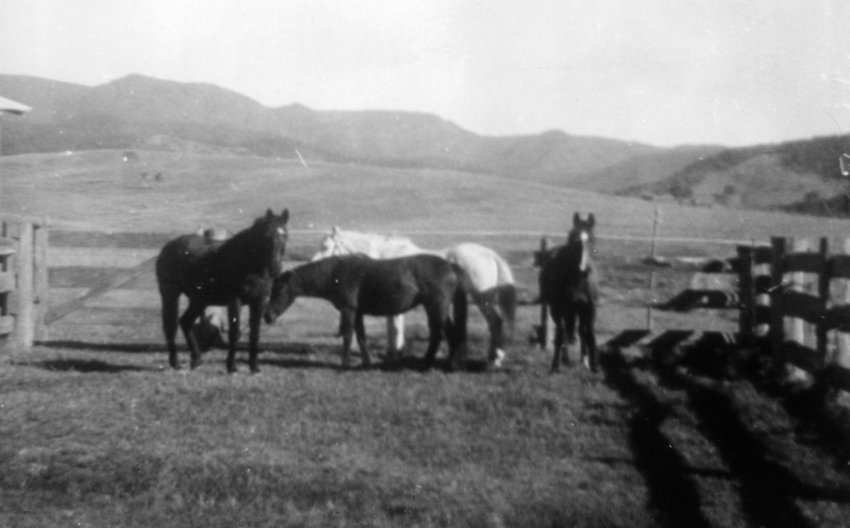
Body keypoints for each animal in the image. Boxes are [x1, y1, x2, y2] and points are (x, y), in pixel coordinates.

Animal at [156, 208, 290, 373]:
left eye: (285, 235)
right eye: (267, 236)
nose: (275, 268)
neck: (248, 262)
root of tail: (167, 248)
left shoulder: (259, 302)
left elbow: (255, 333)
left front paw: (254, 366)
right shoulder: (235, 300)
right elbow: (235, 332)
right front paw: (231, 366)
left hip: (199, 300)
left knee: (185, 322)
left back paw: (196, 359)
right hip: (170, 294)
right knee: (170, 326)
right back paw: (175, 362)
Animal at [264, 253, 469, 370]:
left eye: (279, 291)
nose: (267, 316)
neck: (335, 274)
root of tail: (451, 266)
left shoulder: (349, 311)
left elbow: (348, 337)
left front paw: (344, 365)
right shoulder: (358, 313)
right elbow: (362, 338)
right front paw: (366, 364)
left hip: (436, 307)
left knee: (445, 335)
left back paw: (440, 365)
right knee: (445, 335)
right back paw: (439, 364)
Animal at [312, 227, 516, 367]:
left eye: (326, 247)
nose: (312, 264)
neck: (384, 256)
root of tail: (488, 254)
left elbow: (394, 329)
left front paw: (395, 354)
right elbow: (393, 328)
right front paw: (394, 353)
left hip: (482, 298)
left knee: (495, 322)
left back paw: (495, 359)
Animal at [539, 213, 599, 373]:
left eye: (592, 239)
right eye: (574, 238)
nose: (584, 270)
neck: (577, 280)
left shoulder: (590, 309)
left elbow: (590, 334)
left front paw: (594, 365)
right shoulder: (558, 309)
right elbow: (560, 336)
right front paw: (555, 365)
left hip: (577, 311)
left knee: (580, 332)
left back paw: (583, 360)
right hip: (562, 311)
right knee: (564, 333)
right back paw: (564, 360)